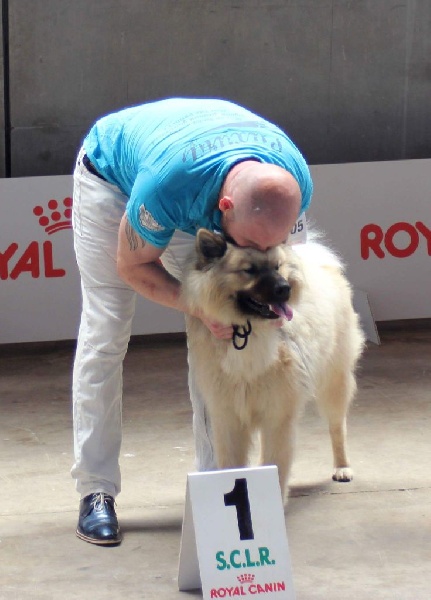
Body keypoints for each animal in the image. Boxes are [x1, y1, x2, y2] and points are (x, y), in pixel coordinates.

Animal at [181, 229, 365, 500]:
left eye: (277, 267)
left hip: (333, 382)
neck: (248, 331)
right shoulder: (227, 417)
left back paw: (342, 467)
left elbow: (276, 462)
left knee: (337, 427)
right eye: (249, 270)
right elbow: (232, 463)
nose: (284, 288)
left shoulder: (277, 415)